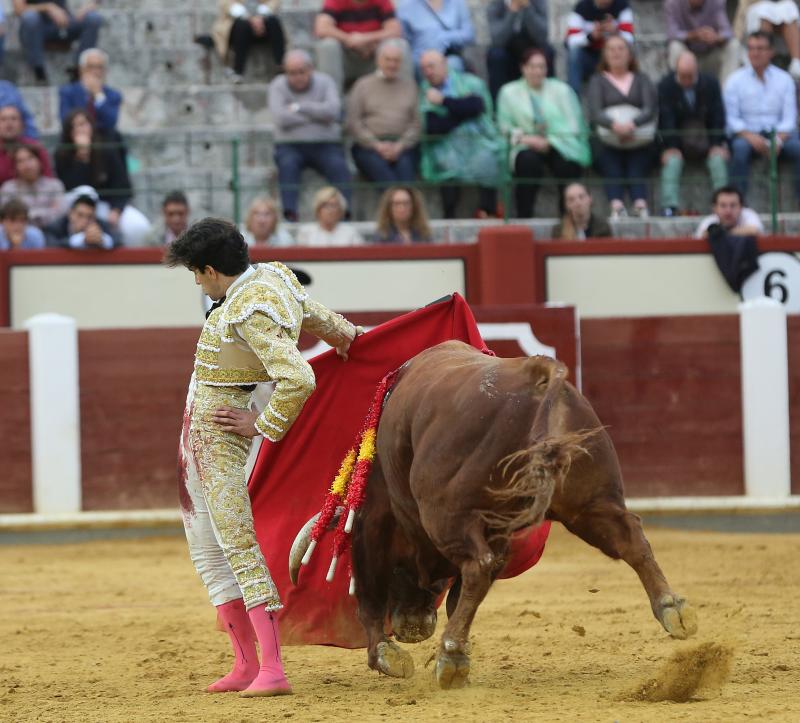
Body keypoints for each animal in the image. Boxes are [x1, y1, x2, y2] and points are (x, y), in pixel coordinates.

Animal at [290, 340, 696, 692]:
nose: (414, 627)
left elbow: (372, 592)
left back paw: (451, 656)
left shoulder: (375, 521)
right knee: (631, 537)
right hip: (591, 501)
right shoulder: (499, 529)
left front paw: (388, 655)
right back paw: (673, 610)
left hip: (447, 513)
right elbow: (464, 592)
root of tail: (540, 376)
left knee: (477, 566)